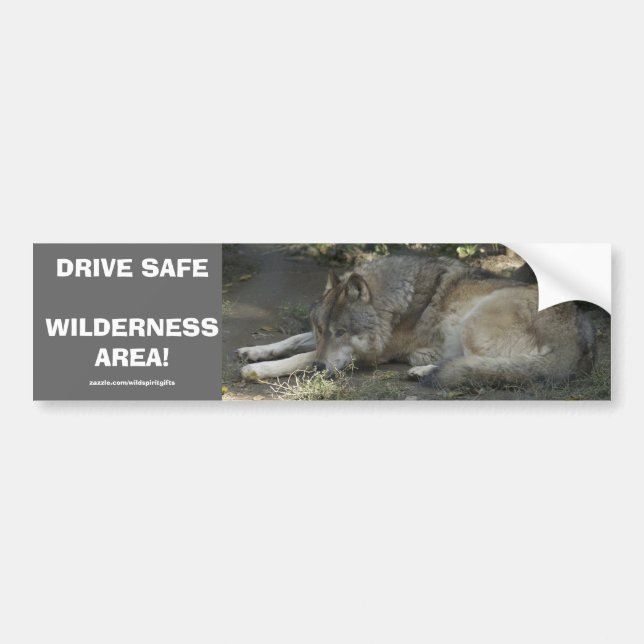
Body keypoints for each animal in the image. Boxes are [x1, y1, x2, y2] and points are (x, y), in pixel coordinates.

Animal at [236, 255, 595, 388]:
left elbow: (301, 355)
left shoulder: (371, 355)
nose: (320, 370)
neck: (391, 304)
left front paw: (260, 369)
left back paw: (424, 370)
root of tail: (576, 345)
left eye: (343, 332)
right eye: (322, 329)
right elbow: (294, 340)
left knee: (479, 365)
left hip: (476, 319)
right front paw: (255, 352)